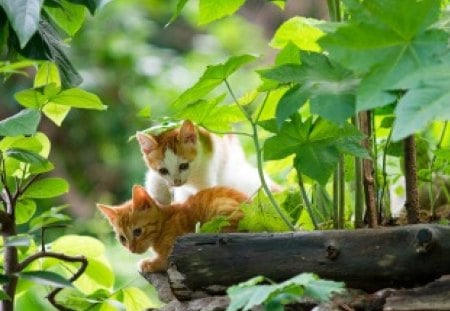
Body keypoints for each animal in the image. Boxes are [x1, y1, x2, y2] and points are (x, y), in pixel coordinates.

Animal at [96, 185, 248, 272]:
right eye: (122, 238)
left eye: (137, 232)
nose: (131, 249)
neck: (165, 222)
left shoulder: (176, 252)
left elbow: (163, 261)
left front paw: (148, 263)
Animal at [135, 120, 280, 206]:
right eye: (163, 171)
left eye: (184, 166)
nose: (176, 182)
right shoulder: (156, 176)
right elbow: (155, 183)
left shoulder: (206, 169)